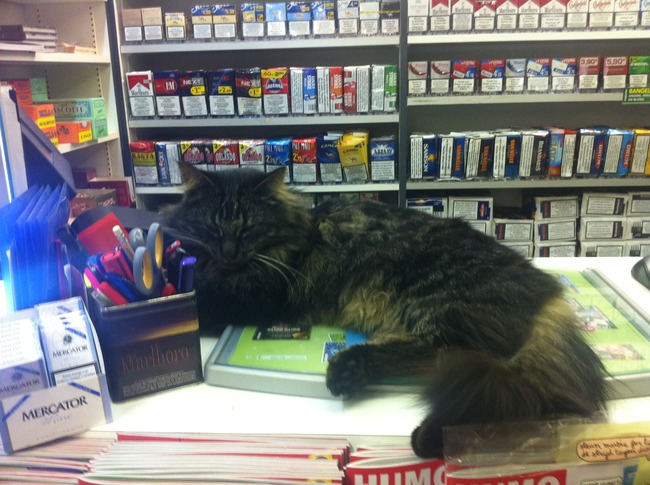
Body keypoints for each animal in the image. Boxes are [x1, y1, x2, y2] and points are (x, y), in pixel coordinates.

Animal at [164, 164, 608, 458]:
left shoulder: (258, 296)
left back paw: (363, 387)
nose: (228, 252)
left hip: (442, 307)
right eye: (213, 228)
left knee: (458, 369)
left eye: (248, 229)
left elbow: (203, 301)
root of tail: (547, 292)